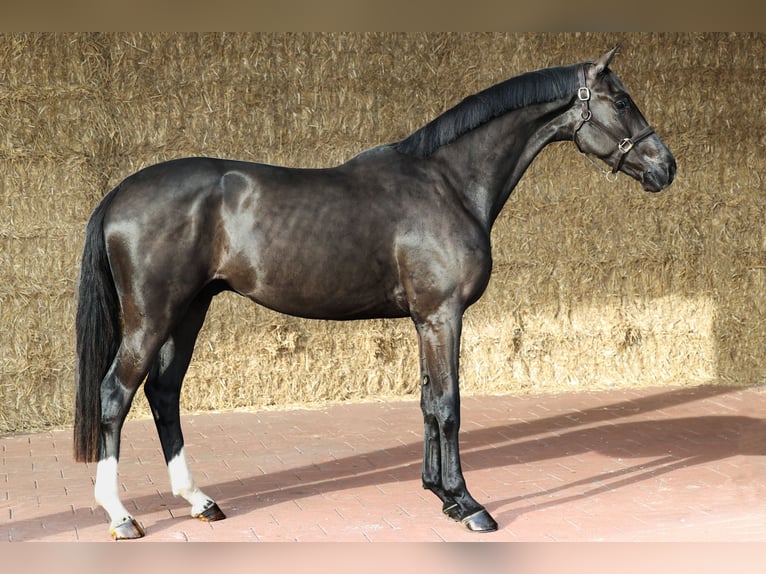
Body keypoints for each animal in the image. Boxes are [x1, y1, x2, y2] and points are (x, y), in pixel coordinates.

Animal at [74, 46, 676, 539]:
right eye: (621, 100)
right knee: (115, 395)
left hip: (189, 311)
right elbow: (448, 406)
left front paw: (440, 495)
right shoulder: (442, 316)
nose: (665, 167)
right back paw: (121, 516)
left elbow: (428, 402)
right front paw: (468, 504)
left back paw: (200, 501)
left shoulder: (425, 320)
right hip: (151, 317)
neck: (447, 184)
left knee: (163, 394)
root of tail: (119, 193)